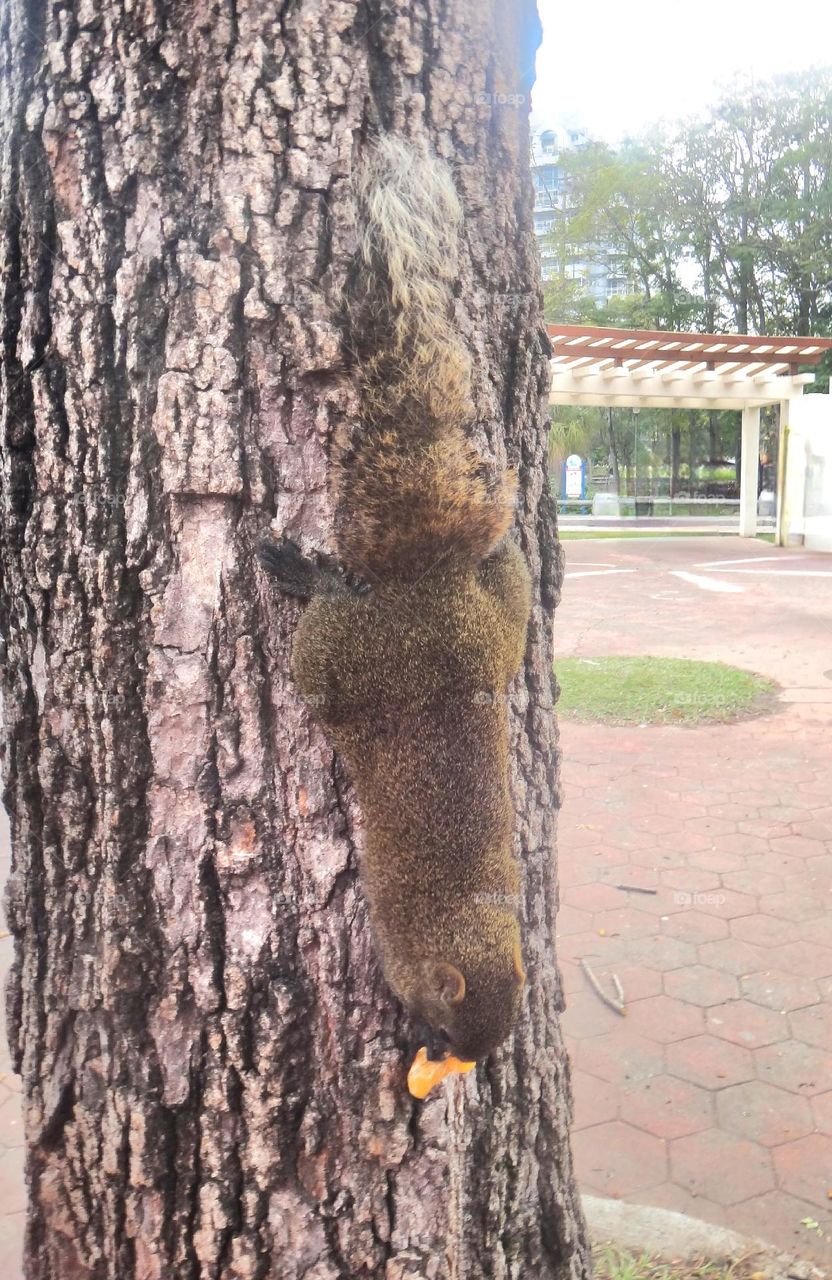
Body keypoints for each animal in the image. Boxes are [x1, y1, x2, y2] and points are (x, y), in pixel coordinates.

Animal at [260, 137, 531, 1068]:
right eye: (444, 1028)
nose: (436, 1062)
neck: (463, 919)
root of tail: (429, 587)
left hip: (488, 633)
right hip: (341, 655)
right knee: (320, 637)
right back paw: (303, 571)